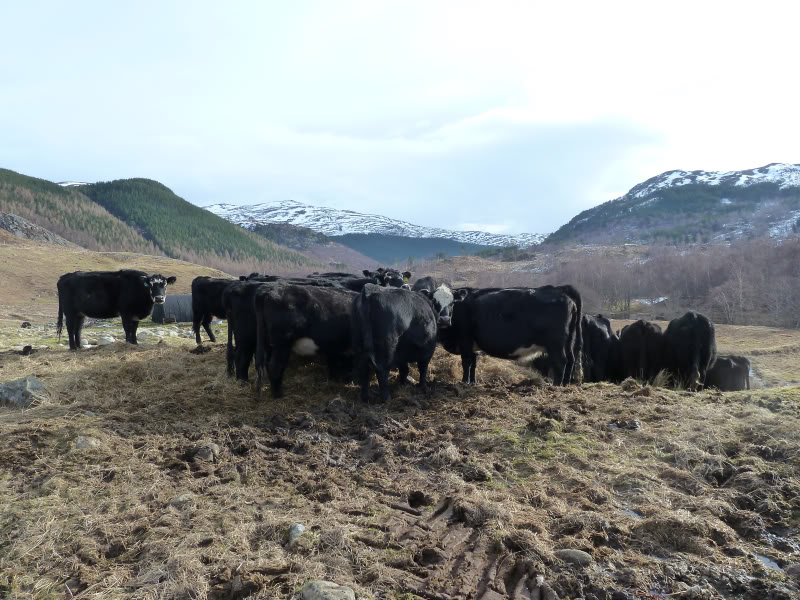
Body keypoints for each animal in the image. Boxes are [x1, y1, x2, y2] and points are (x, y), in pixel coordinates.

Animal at [438, 285, 583, 386]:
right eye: (434, 301)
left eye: (452, 303)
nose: (443, 320)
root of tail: (560, 289)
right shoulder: (473, 345)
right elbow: (473, 363)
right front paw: (472, 382)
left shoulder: (465, 340)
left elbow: (466, 362)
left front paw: (464, 382)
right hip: (569, 341)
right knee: (571, 360)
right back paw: (565, 384)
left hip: (556, 344)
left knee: (561, 361)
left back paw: (556, 385)